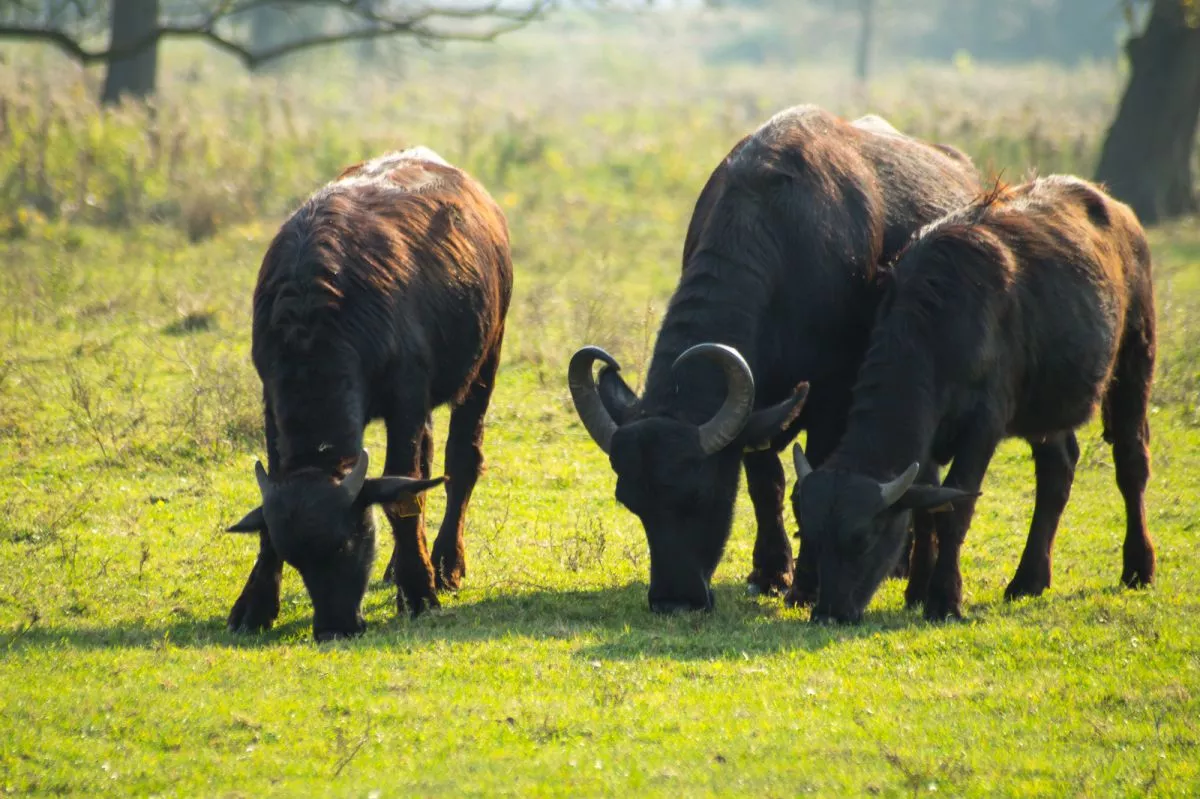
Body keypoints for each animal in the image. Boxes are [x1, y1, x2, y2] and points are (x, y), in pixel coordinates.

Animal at [225, 146, 511, 638]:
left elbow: (404, 493)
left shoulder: (406, 397)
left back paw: (445, 563)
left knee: (459, 462)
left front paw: (420, 590)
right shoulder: (269, 400)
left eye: (347, 543)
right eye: (296, 559)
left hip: (486, 359)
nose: (335, 626)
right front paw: (255, 603)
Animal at [566, 105, 979, 611]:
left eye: (700, 494)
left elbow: (813, 476)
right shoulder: (758, 400)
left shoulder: (832, 397)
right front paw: (770, 572)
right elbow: (767, 484)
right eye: (632, 502)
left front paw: (806, 583)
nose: (674, 599)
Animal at [792, 173, 1156, 623]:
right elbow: (927, 508)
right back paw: (1028, 579)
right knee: (1057, 471)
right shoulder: (927, 436)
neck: (939, 329)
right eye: (811, 536)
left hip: (1135, 357)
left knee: (1131, 463)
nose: (829, 612)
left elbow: (956, 507)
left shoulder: (984, 426)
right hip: (1046, 408)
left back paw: (1138, 567)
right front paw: (917, 589)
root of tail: (1121, 213)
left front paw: (943, 598)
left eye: (862, 539)